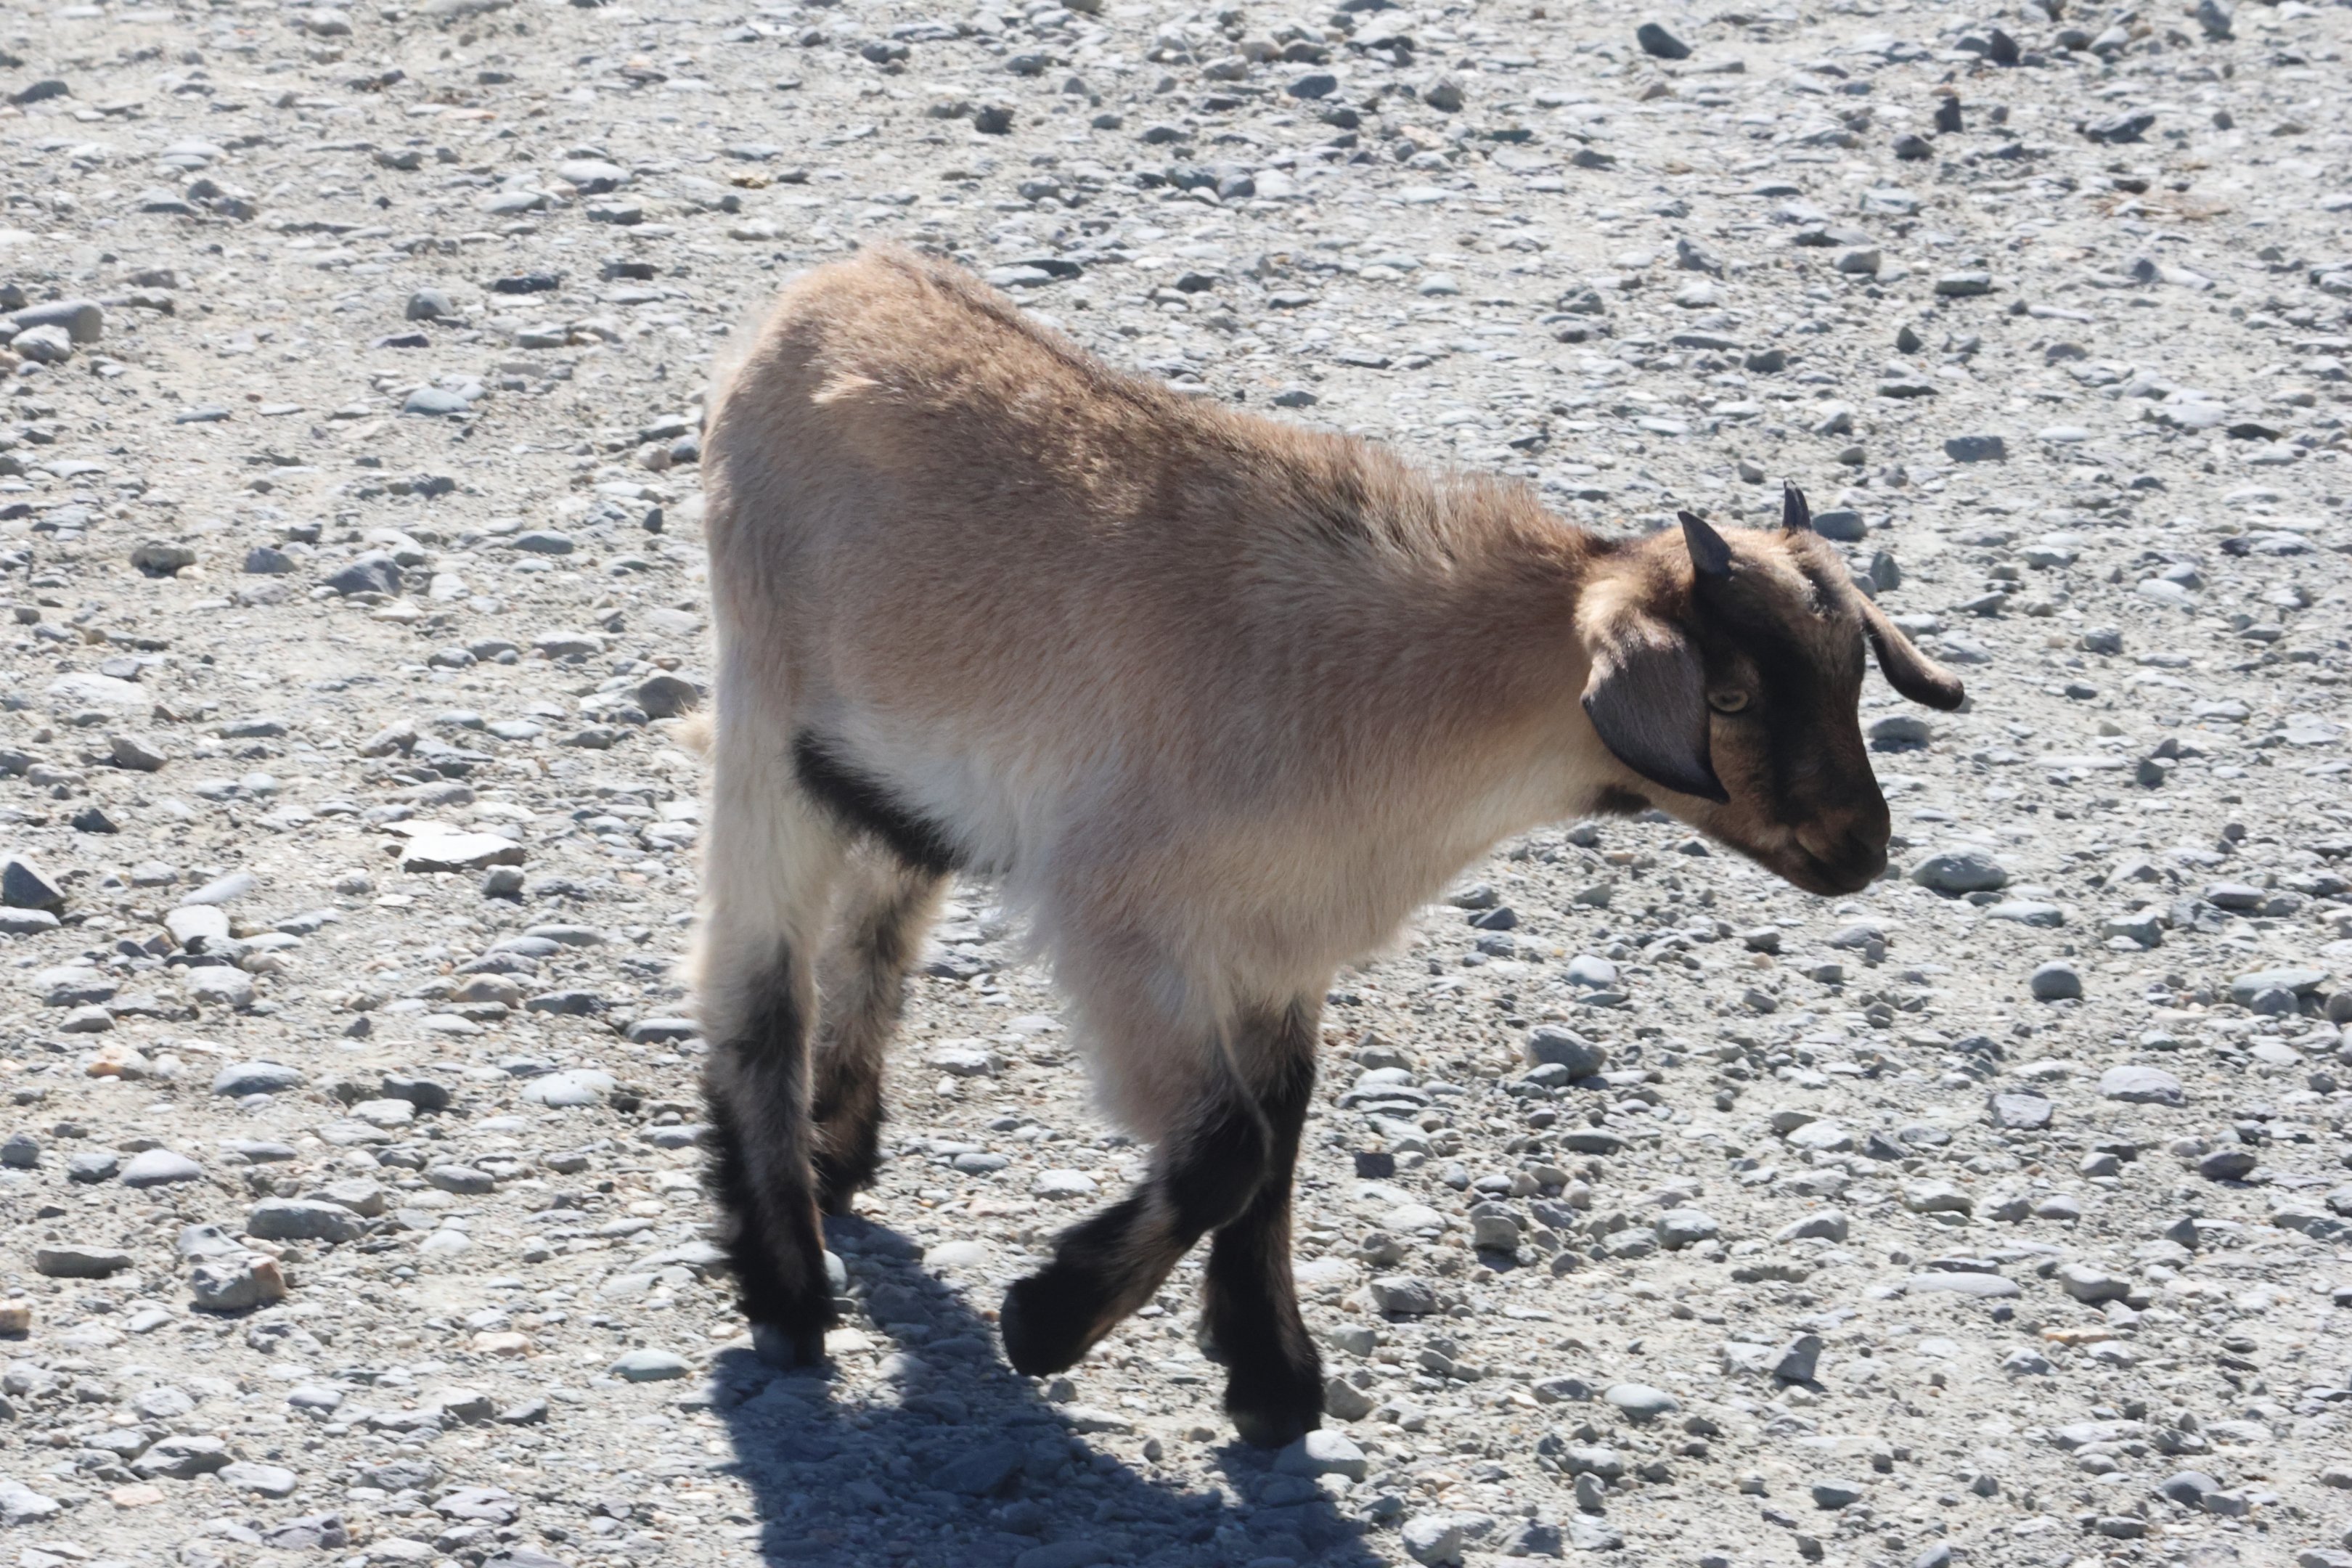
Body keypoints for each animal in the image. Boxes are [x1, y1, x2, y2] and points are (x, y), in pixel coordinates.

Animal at [688, 244, 1964, 1447]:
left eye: (1854, 677)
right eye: (1734, 696)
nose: (1862, 849)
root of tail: (835, 283)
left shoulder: (1280, 942)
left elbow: (1282, 1134)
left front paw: (1269, 1376)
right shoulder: (1119, 921)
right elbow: (1226, 1150)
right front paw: (1048, 1323)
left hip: (900, 774)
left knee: (878, 917)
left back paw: (839, 1151)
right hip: (768, 725)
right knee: (757, 989)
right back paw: (790, 1294)